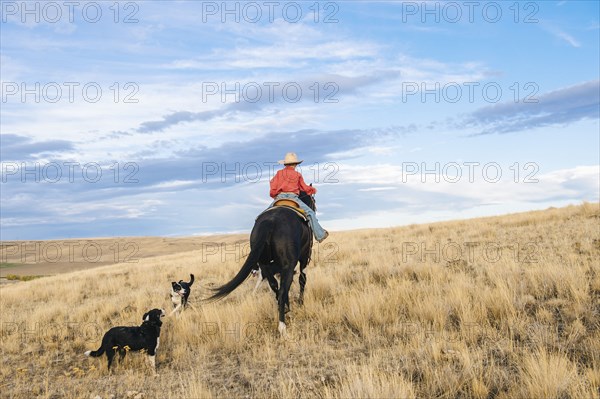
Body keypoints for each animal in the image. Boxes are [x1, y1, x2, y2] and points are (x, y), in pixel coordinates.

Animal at [206, 192, 314, 336]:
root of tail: (271, 221)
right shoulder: (304, 258)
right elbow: (302, 280)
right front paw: (301, 303)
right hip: (288, 265)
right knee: (282, 290)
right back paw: (282, 326)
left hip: (266, 265)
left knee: (275, 287)